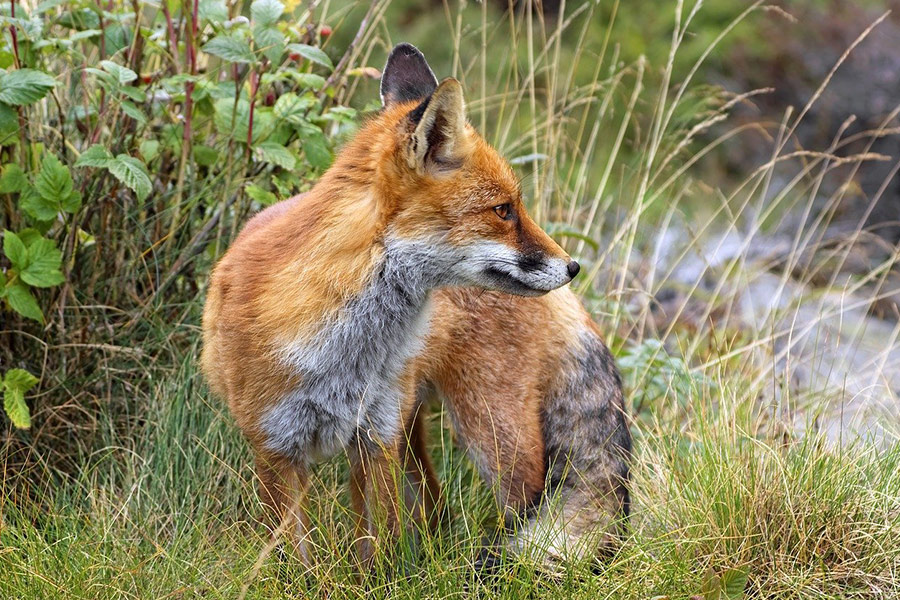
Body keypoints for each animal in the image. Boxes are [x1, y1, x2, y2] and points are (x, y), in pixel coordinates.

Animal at [200, 42, 591, 565]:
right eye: (503, 210)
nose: (573, 267)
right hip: (422, 433)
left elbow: (377, 551)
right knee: (436, 505)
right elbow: (295, 560)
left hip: (487, 434)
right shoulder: (276, 448)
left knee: (508, 505)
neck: (345, 352)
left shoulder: (375, 438)